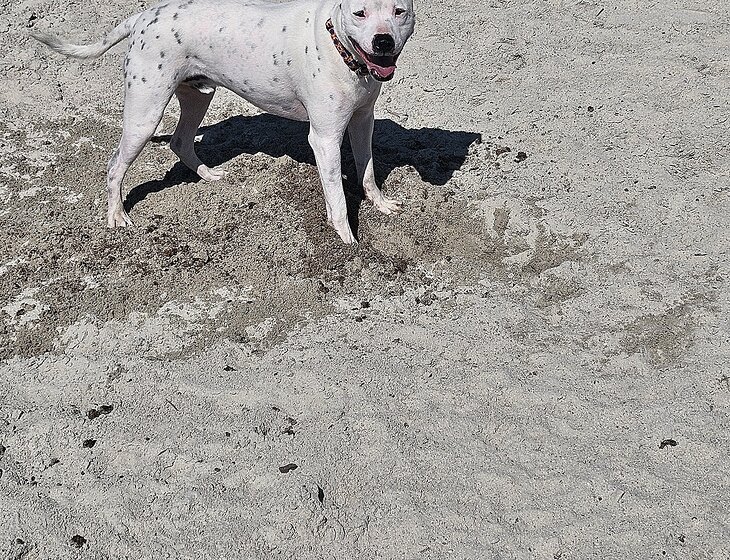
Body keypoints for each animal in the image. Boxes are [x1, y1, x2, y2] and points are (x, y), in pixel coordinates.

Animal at [32, 0, 416, 244]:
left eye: (399, 12)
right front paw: (347, 240)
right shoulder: (324, 138)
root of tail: (142, 16)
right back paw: (116, 215)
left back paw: (208, 174)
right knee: (114, 167)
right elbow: (337, 198)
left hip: (198, 97)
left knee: (180, 141)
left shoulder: (362, 122)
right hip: (145, 115)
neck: (338, 42)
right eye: (360, 13)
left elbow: (367, 171)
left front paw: (380, 204)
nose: (383, 40)